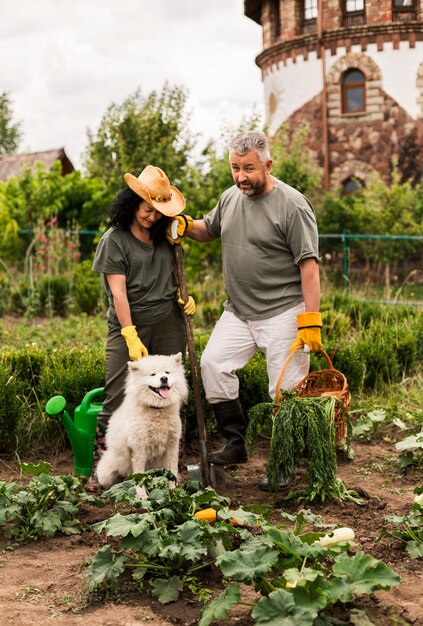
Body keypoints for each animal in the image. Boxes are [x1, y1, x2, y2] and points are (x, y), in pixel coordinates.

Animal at [97, 352, 190, 492]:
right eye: (152, 374)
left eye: (167, 372)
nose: (164, 379)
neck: (157, 409)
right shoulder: (139, 447)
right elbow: (139, 475)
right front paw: (142, 494)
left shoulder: (172, 445)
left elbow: (172, 470)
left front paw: (173, 491)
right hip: (108, 472)